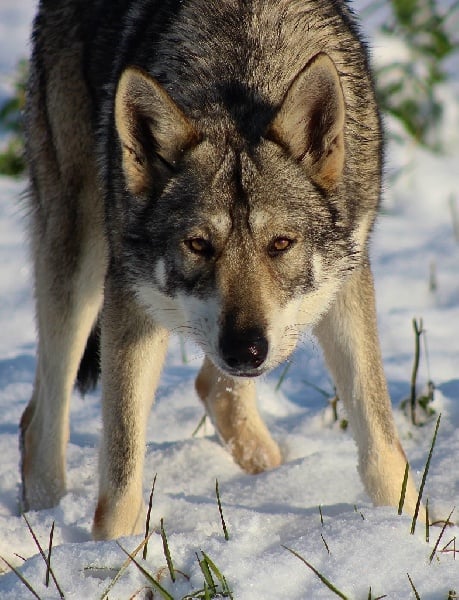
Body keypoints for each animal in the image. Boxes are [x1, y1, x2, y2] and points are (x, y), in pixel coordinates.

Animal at [19, 0, 422, 540]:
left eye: (281, 244)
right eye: (198, 245)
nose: (246, 349)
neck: (241, 66)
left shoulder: (345, 281)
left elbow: (381, 446)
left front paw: (413, 533)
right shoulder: (130, 297)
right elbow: (121, 482)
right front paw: (110, 554)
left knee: (214, 389)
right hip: (78, 261)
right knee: (39, 421)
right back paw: (43, 522)